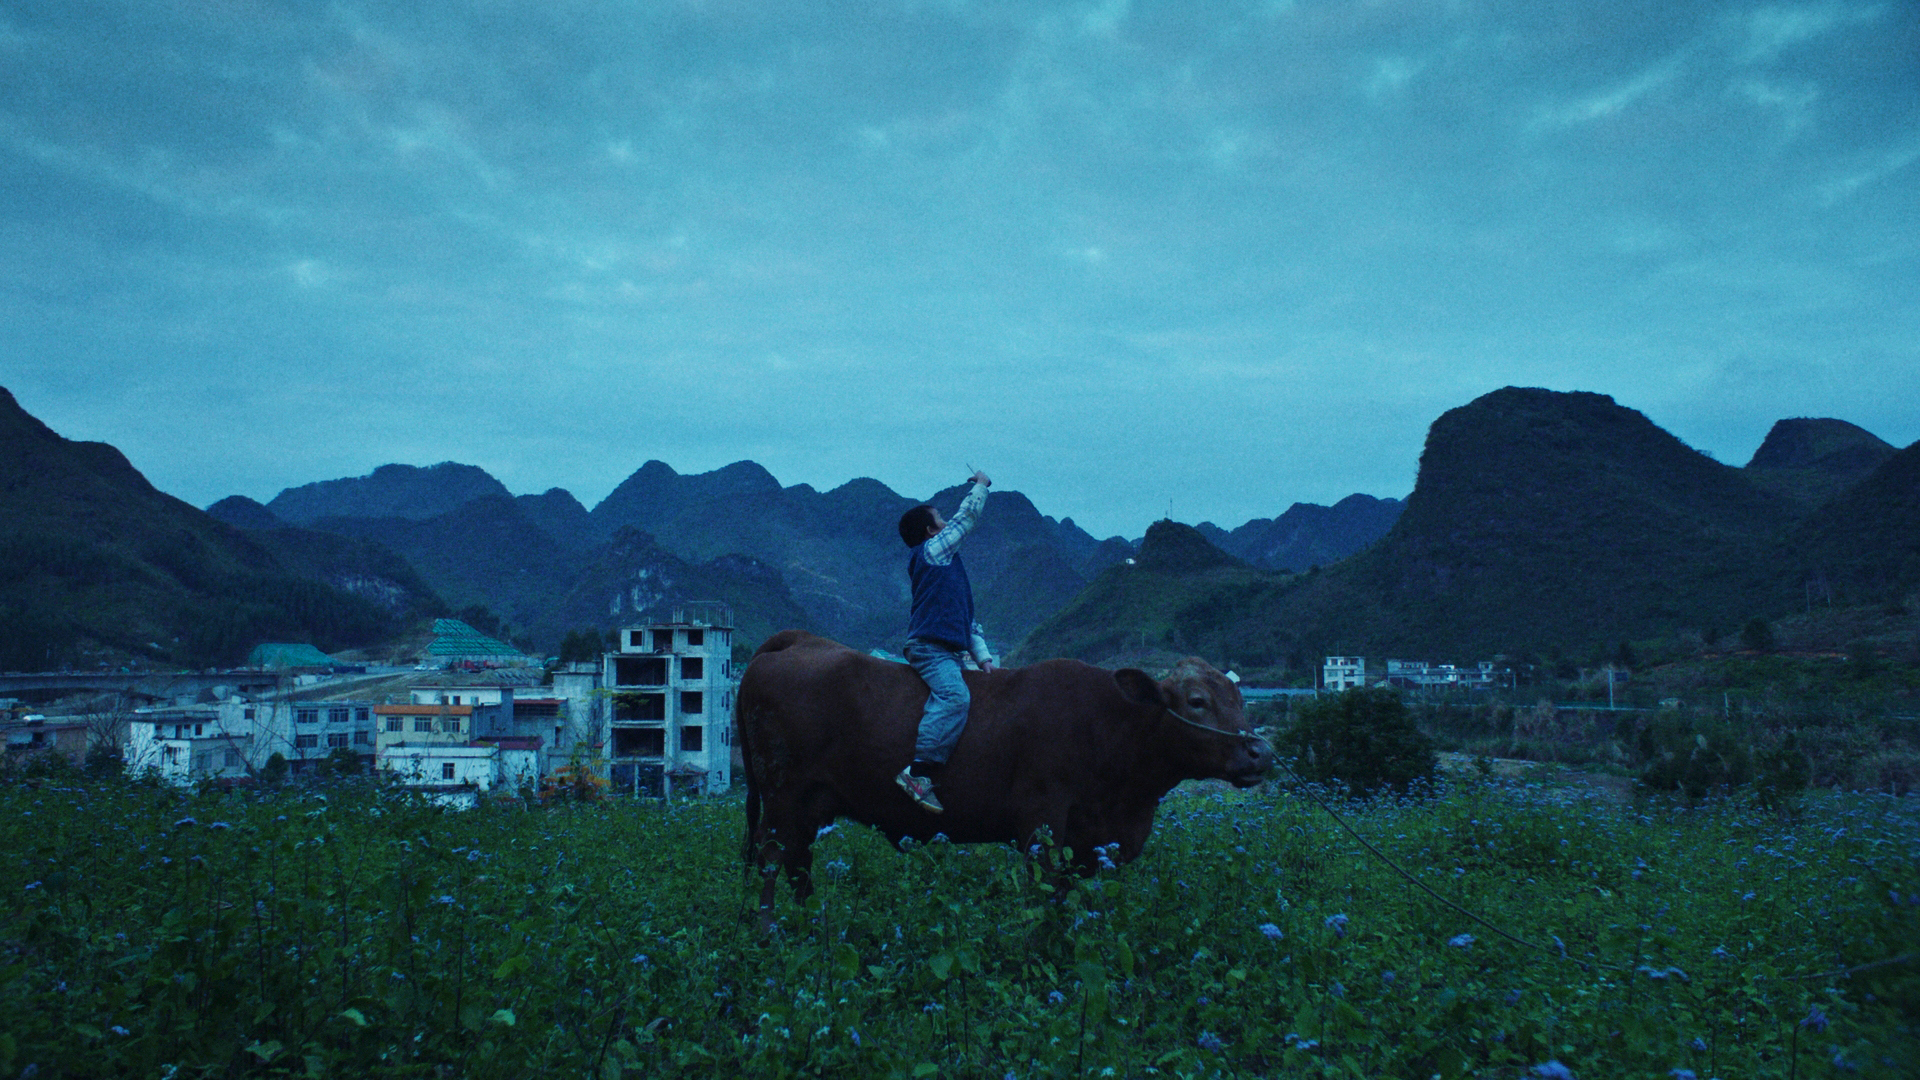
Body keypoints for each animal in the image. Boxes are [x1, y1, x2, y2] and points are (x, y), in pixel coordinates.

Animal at [733, 626, 1274, 910]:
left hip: (810, 803)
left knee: (799, 863)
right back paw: (772, 938)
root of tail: (798, 640)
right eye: (1197, 701)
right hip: (782, 796)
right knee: (773, 858)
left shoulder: (1096, 843)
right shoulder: (1040, 823)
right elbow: (1046, 897)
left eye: (1241, 698)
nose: (1260, 754)